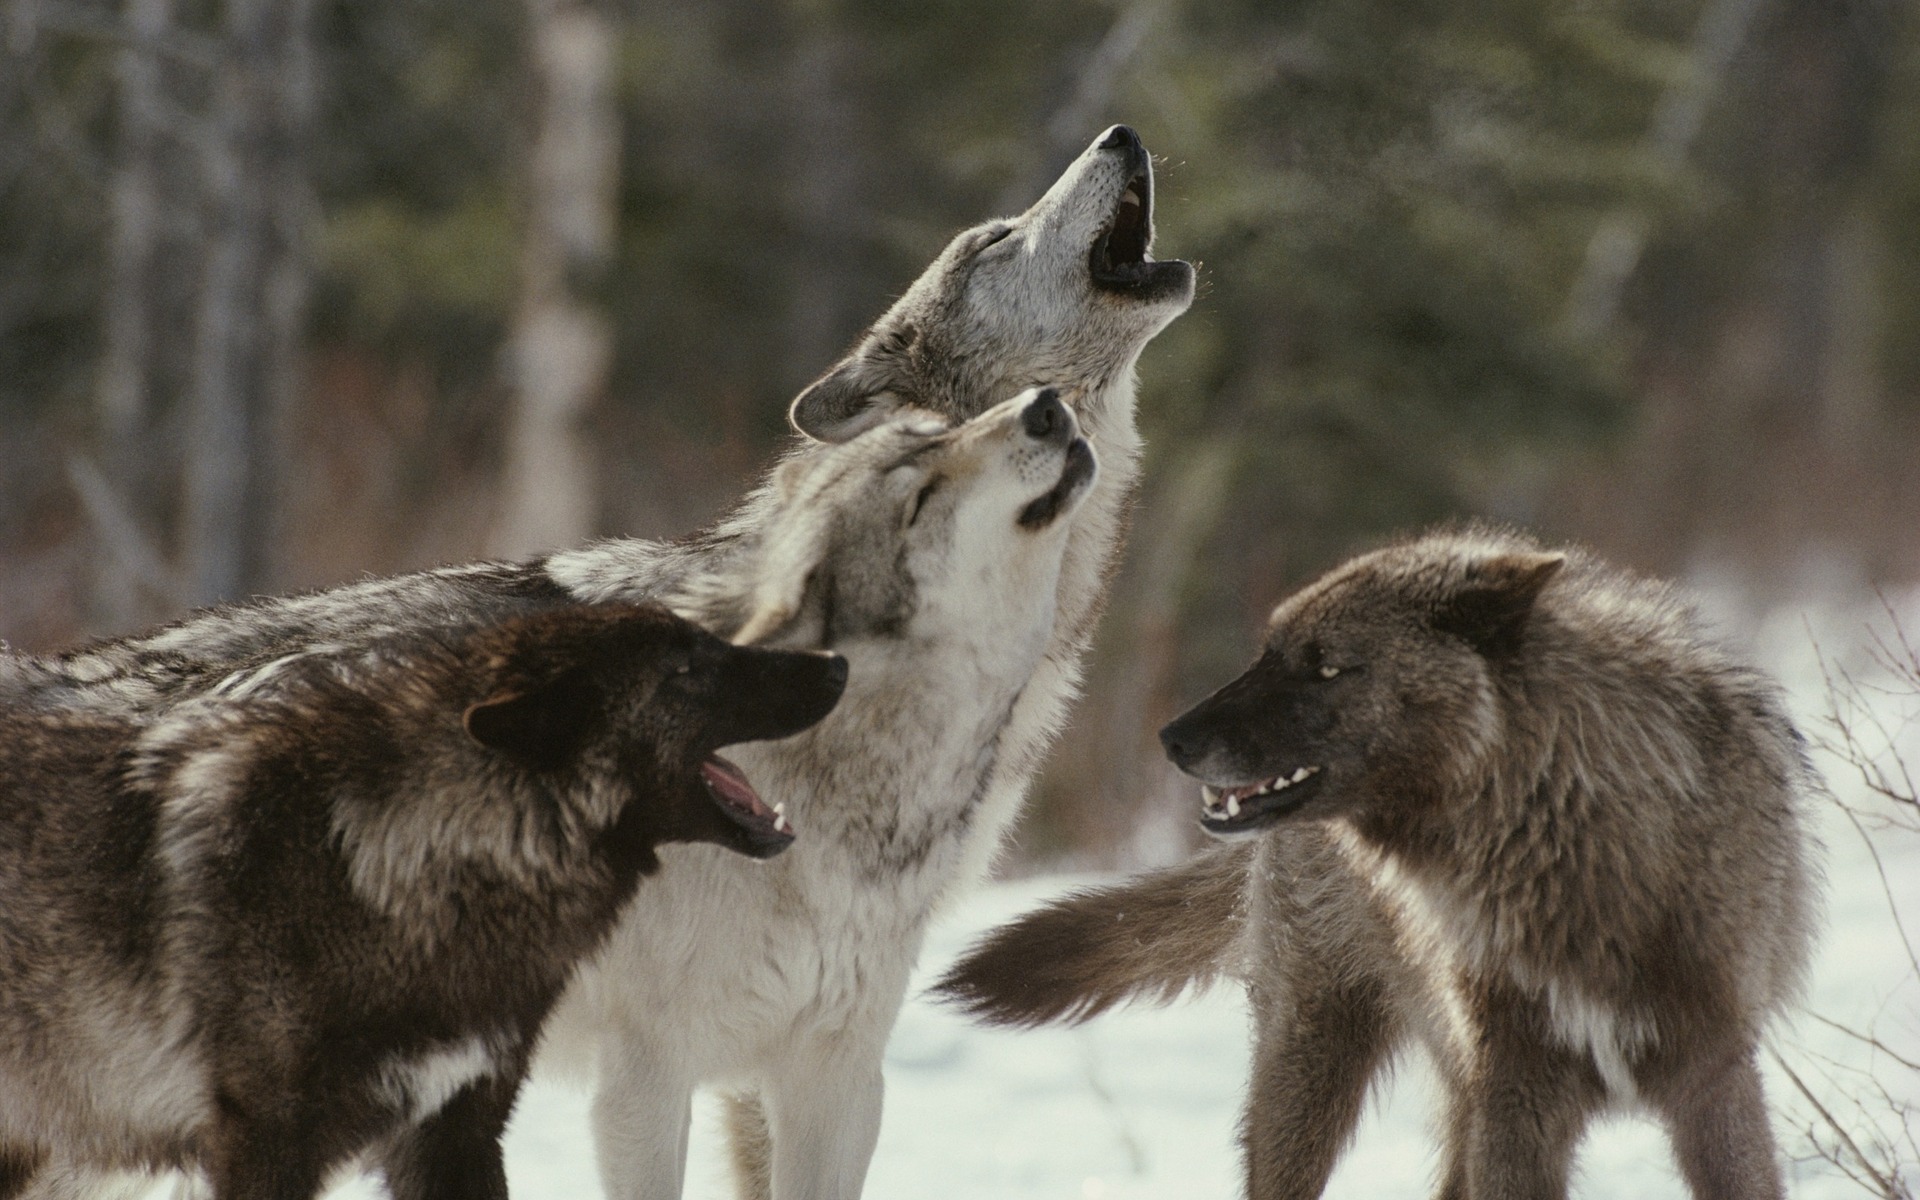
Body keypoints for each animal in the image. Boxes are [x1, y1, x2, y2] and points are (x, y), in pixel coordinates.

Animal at [936, 529, 1820, 1198]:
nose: (1172, 738)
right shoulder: (1519, 1096)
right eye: (1269, 652)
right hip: (1312, 1069)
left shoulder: (1714, 1077)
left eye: (1326, 664)